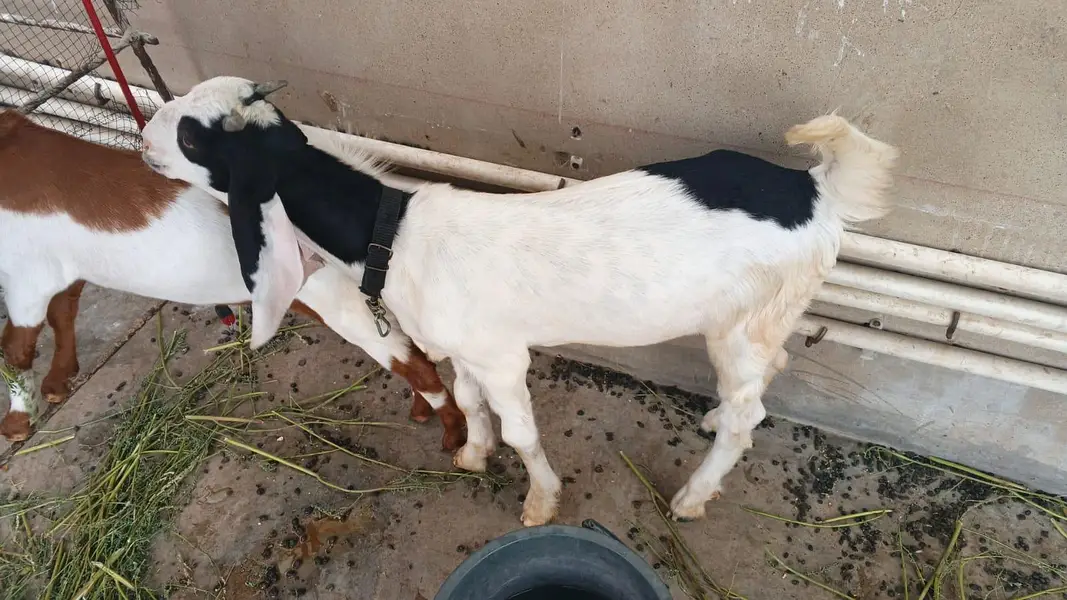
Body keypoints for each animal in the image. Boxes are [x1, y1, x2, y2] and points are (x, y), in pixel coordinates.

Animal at [0, 109, 465, 450]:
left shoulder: (27, 278)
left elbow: (16, 349)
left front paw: (18, 423)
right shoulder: (64, 272)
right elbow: (63, 313)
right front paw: (57, 382)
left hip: (343, 305)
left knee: (415, 364)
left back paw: (453, 437)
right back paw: (422, 413)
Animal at [140, 76, 898, 526]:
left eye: (191, 137)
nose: (144, 133)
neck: (391, 232)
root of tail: (817, 191)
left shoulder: (503, 357)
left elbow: (521, 430)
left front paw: (538, 500)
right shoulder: (468, 350)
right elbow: (467, 401)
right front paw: (472, 455)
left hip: (741, 324)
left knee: (750, 415)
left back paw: (691, 496)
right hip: (766, 319)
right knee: (764, 381)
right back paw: (711, 421)